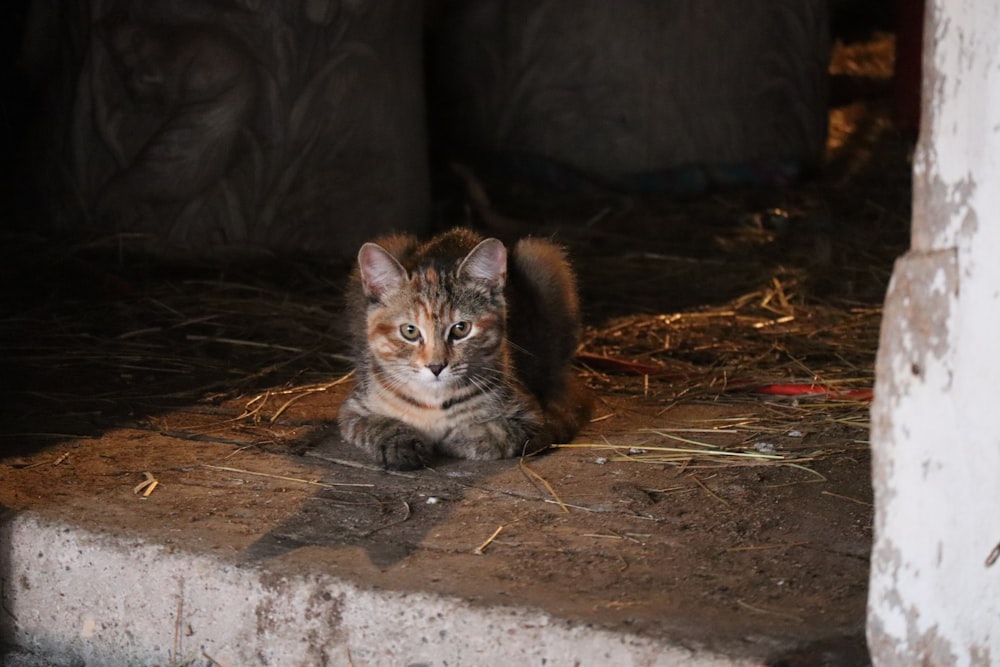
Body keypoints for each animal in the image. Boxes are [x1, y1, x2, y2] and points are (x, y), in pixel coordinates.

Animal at [340, 228, 588, 470]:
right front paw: (400, 443)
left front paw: (456, 437)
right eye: (409, 331)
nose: (436, 366)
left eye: (461, 329)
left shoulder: (530, 415)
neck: (433, 400)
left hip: (541, 256)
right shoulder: (353, 410)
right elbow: (377, 424)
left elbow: (497, 434)